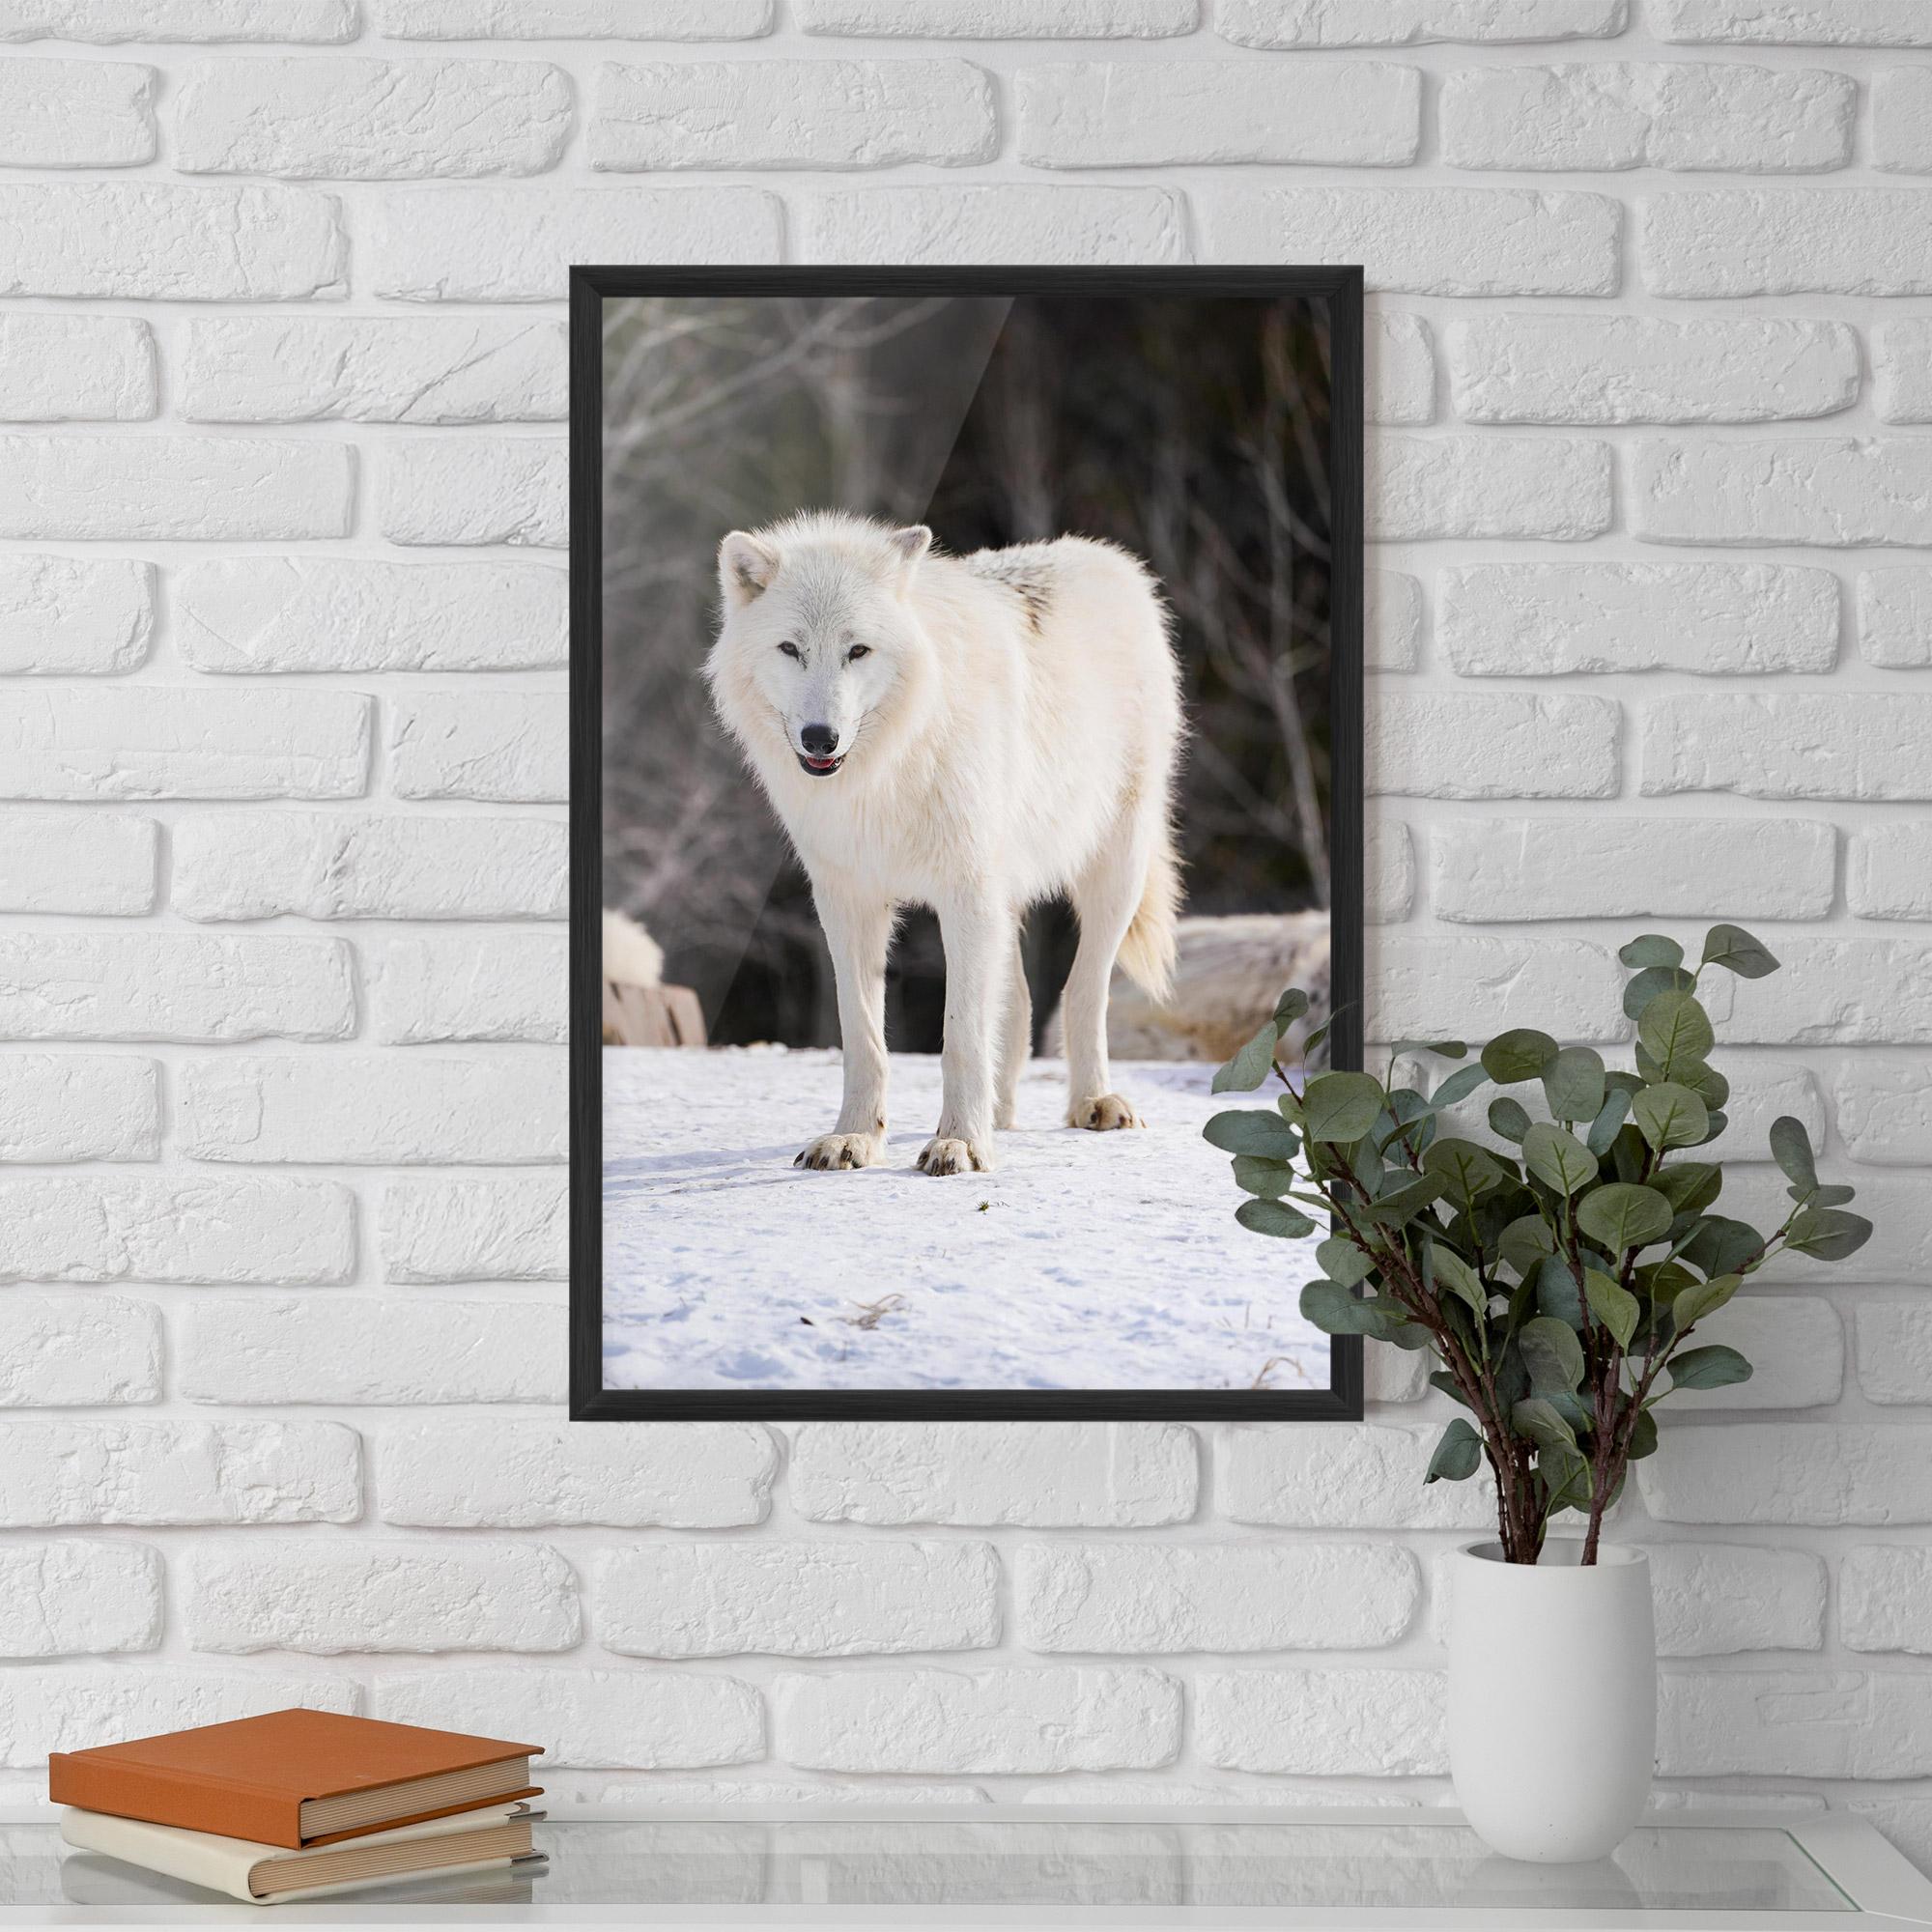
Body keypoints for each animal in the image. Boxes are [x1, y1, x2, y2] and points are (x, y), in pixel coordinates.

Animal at [704, 510, 1184, 1176]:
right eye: (790, 649)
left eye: (858, 650)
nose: (820, 737)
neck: (886, 772)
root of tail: (1108, 558)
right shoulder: (847, 901)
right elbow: (863, 1035)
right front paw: (855, 1137)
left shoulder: (966, 894)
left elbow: (959, 1034)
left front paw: (960, 1143)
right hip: (1008, 898)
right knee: (1020, 1004)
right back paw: (1001, 1115)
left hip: (1114, 871)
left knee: (1083, 991)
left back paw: (1093, 1103)